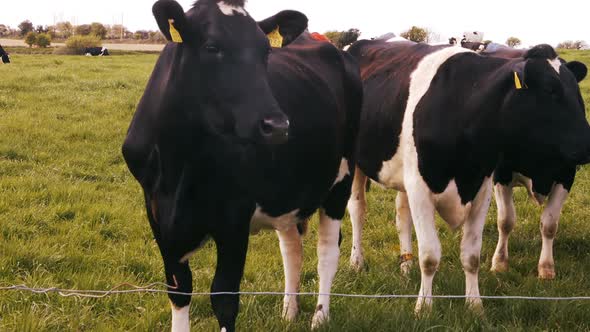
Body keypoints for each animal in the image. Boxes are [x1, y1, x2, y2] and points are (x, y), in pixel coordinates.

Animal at [122, 1, 364, 330]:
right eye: (211, 47)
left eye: (266, 51)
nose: (278, 126)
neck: (179, 165)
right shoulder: (158, 213)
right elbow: (179, 289)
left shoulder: (234, 217)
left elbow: (224, 299)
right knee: (292, 247)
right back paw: (289, 311)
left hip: (341, 179)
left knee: (327, 250)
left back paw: (319, 317)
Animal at [346, 39, 590, 314]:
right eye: (550, 89)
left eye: (576, 91)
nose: (587, 145)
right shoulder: (422, 188)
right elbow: (429, 255)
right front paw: (424, 308)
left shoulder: (483, 186)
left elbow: (473, 255)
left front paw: (475, 305)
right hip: (356, 164)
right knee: (358, 210)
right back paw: (356, 261)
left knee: (402, 215)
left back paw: (406, 266)